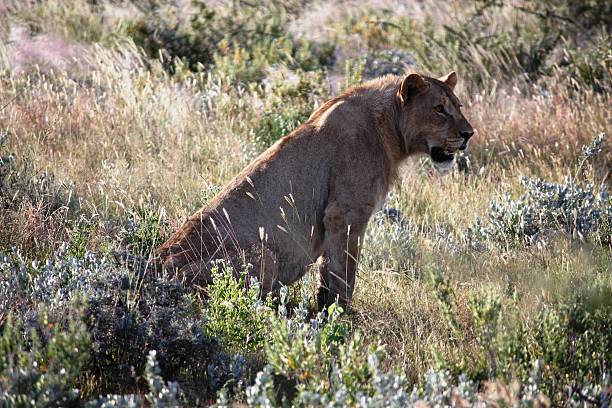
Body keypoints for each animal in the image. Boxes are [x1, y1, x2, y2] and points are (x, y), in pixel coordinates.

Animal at [153, 71, 474, 310]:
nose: (469, 134)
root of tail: (154, 268)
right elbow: (345, 273)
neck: (390, 129)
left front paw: (324, 310)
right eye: (439, 109)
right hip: (262, 255)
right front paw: (342, 317)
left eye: (458, 106)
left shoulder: (334, 220)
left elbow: (328, 272)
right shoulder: (344, 214)